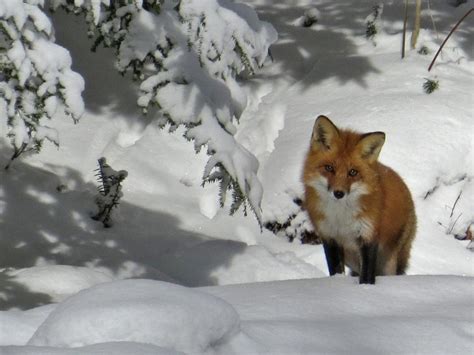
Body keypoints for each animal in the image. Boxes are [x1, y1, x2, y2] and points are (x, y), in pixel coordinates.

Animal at [304, 115, 414, 286]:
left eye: (352, 172)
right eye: (329, 168)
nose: (339, 193)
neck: (341, 217)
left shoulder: (368, 236)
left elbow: (367, 276)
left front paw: (365, 289)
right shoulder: (329, 237)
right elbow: (336, 271)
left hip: (389, 261)